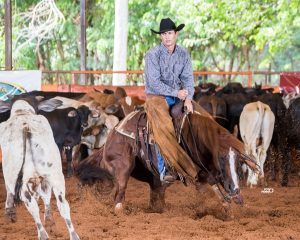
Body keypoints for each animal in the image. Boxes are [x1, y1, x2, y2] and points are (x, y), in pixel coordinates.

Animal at [0, 97, 79, 240]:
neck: (22, 112)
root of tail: (26, 126)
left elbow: (10, 193)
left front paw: (9, 214)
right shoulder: (45, 178)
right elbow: (46, 197)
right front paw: (50, 222)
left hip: (21, 179)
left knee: (32, 206)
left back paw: (42, 234)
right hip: (56, 175)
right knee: (63, 205)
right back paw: (73, 235)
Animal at [76, 102, 256, 213]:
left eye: (239, 162)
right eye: (221, 158)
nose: (235, 188)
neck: (193, 135)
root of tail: (113, 133)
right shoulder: (196, 174)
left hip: (154, 179)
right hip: (123, 167)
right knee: (119, 194)